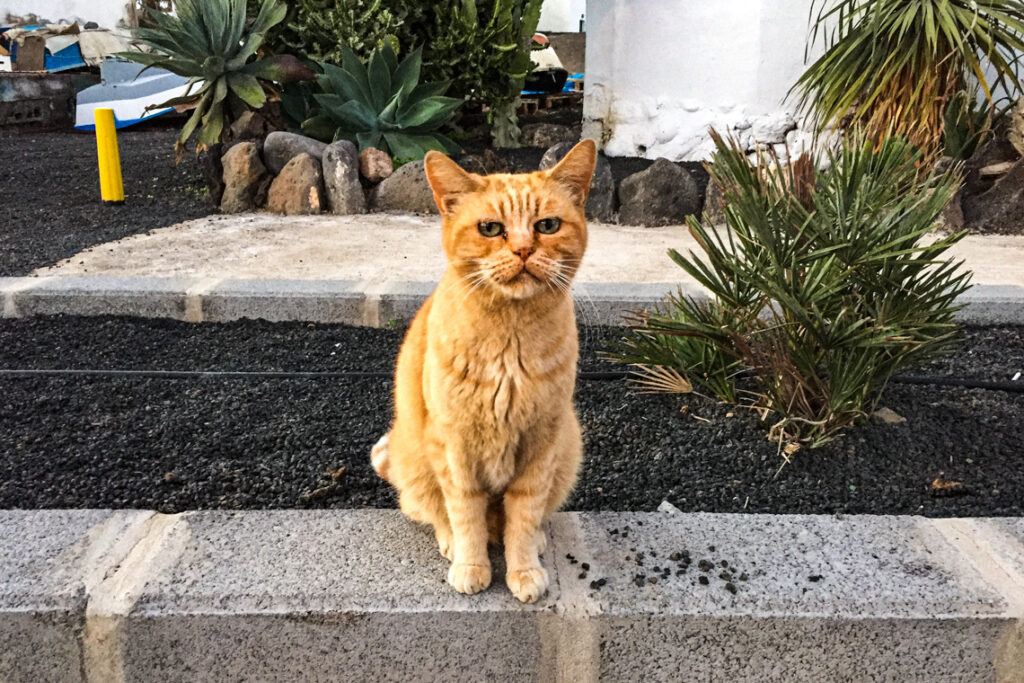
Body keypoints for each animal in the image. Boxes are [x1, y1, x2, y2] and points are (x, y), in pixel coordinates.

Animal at [370, 140, 598, 602]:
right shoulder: (455, 449)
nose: (524, 250)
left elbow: (524, 514)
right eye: (491, 229)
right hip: (416, 459)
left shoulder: (541, 445)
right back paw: (451, 544)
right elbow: (464, 512)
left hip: (569, 446)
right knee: (434, 512)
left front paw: (523, 568)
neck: (509, 342)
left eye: (548, 225)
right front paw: (471, 566)